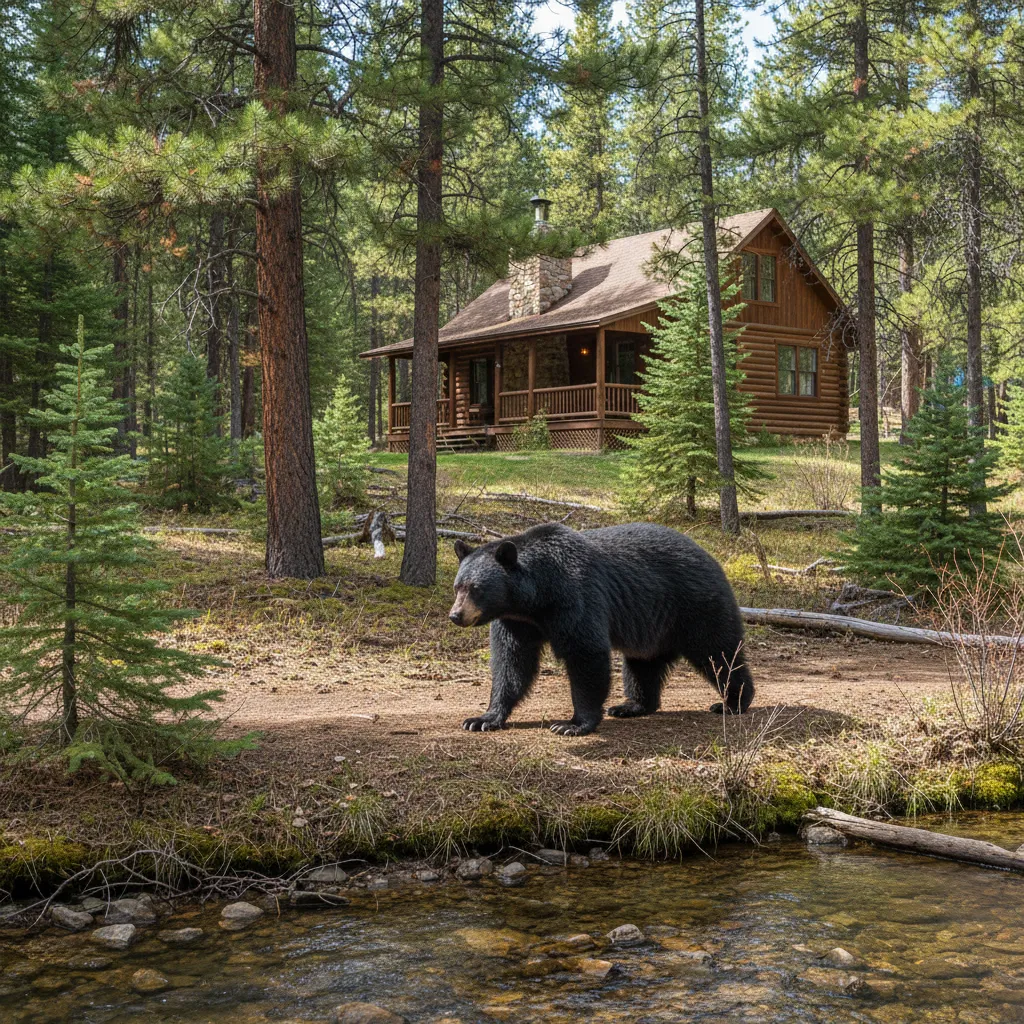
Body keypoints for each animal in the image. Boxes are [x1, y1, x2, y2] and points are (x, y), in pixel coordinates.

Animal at [448, 521, 754, 736]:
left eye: (476, 588)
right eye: (457, 586)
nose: (456, 615)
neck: (535, 599)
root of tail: (710, 556)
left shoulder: (575, 598)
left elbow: (586, 653)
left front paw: (572, 724)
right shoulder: (517, 623)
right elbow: (512, 663)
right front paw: (482, 719)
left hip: (696, 605)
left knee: (718, 651)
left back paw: (732, 702)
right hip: (652, 626)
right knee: (643, 664)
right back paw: (631, 705)